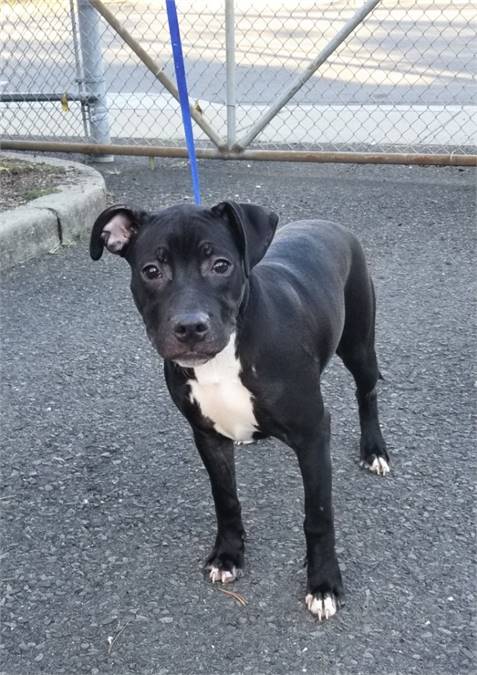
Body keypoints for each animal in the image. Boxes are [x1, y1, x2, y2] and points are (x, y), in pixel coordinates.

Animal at [89, 202, 386, 624]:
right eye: (151, 271)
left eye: (221, 265)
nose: (190, 327)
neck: (223, 357)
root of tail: (329, 224)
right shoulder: (206, 436)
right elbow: (225, 498)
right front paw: (228, 556)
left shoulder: (313, 434)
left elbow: (318, 514)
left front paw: (324, 583)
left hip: (359, 343)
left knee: (368, 391)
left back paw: (374, 450)